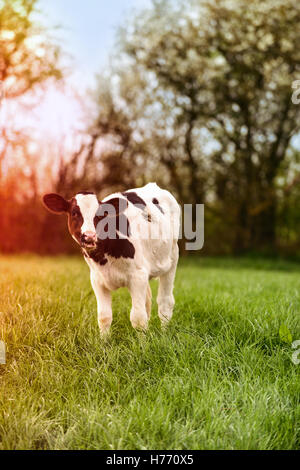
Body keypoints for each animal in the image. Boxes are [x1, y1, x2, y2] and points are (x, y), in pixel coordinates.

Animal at [42, 183, 180, 334]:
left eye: (101, 214)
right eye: (74, 213)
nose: (89, 236)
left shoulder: (137, 276)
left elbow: (138, 318)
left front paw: (143, 340)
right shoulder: (97, 279)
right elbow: (104, 316)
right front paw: (104, 340)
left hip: (172, 258)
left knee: (165, 302)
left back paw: (164, 332)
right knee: (148, 301)